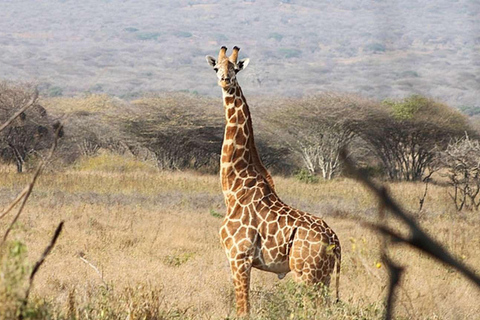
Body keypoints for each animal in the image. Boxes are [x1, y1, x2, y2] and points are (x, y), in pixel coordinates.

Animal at [206, 46, 342, 316]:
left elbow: (243, 309)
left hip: (307, 274)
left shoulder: (239, 256)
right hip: (323, 276)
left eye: (235, 68)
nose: (225, 80)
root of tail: (336, 241)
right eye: (217, 67)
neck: (233, 189)